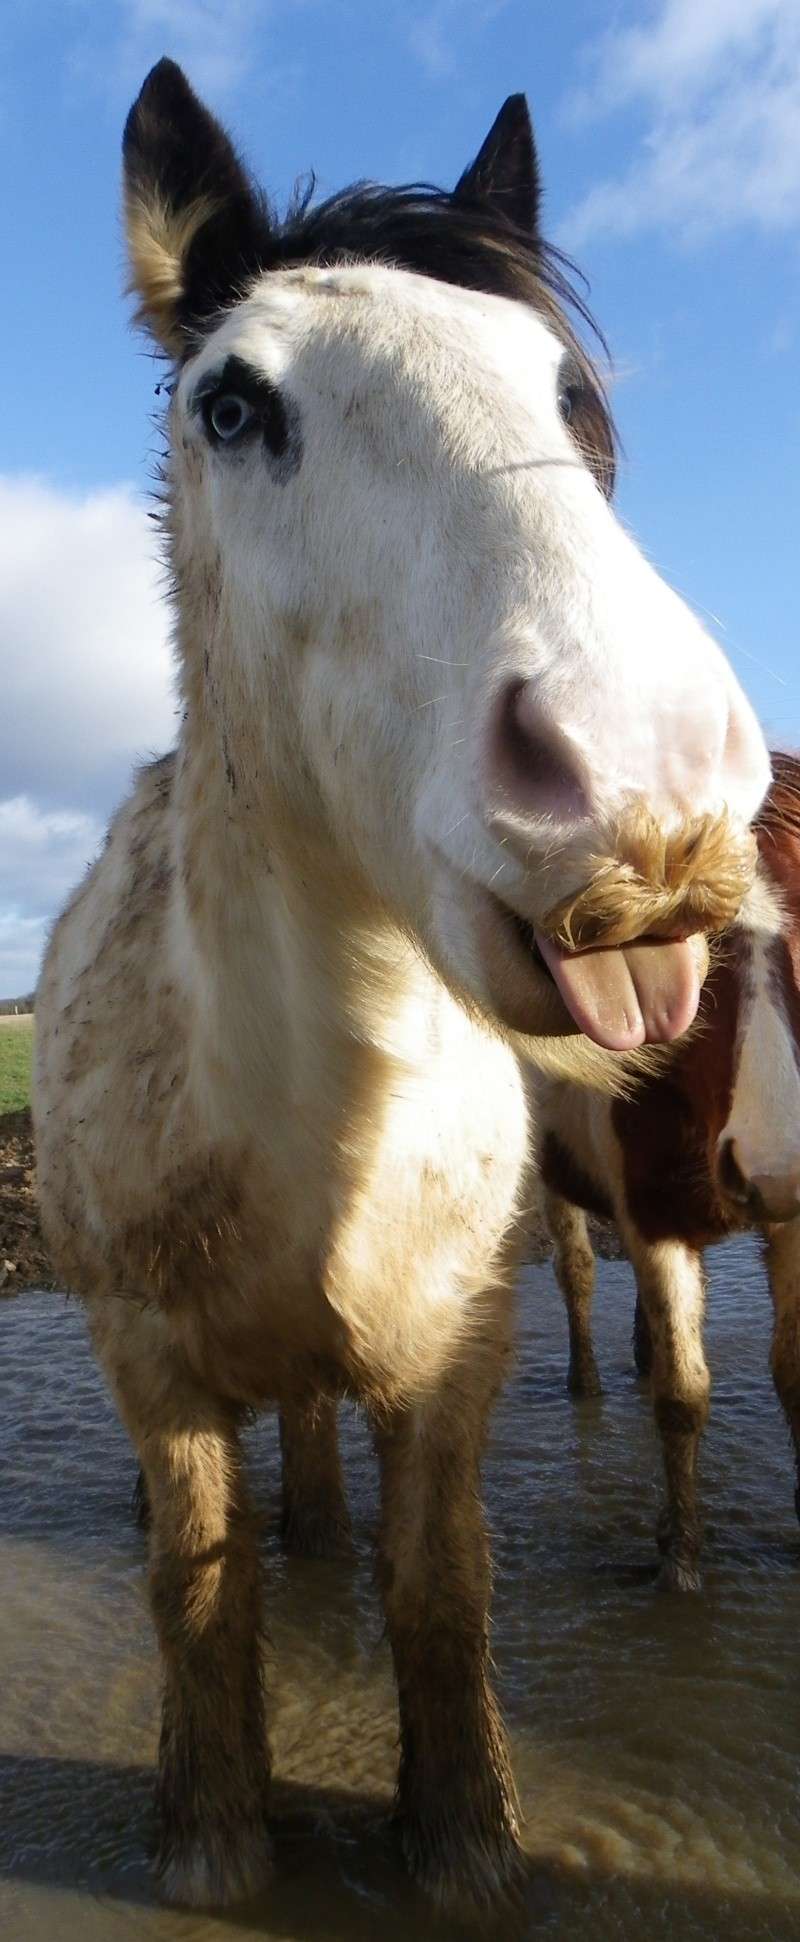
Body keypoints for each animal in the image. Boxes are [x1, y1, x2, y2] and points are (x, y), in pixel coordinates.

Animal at [32, 56, 768, 1910]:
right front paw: (214, 1846)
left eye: (569, 391)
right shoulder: (159, 1372)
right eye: (231, 406)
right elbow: (197, 1588)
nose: (644, 776)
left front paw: (464, 1845)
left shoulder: (454, 1356)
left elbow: (439, 1590)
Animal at [535, 749, 800, 1584]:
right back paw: (586, 1379)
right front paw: (680, 1557)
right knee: (577, 1275)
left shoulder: (792, 1227)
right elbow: (684, 1401)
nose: (777, 1170)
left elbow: (793, 1371)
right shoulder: (653, 1225)